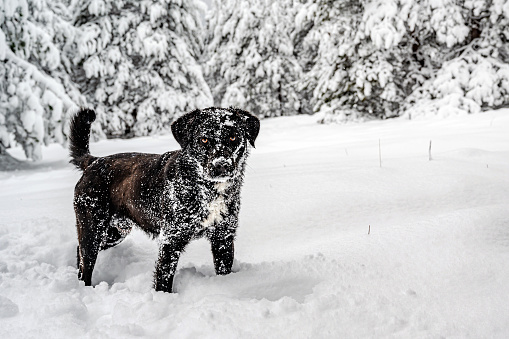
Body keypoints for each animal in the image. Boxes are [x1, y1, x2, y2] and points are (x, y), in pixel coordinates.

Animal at [69, 107, 260, 294]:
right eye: (204, 139)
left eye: (233, 137)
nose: (221, 165)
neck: (205, 190)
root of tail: (93, 162)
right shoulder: (171, 240)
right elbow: (163, 279)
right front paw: (162, 297)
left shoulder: (223, 237)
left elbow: (223, 269)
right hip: (92, 230)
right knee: (86, 261)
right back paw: (84, 289)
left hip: (115, 232)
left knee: (79, 251)